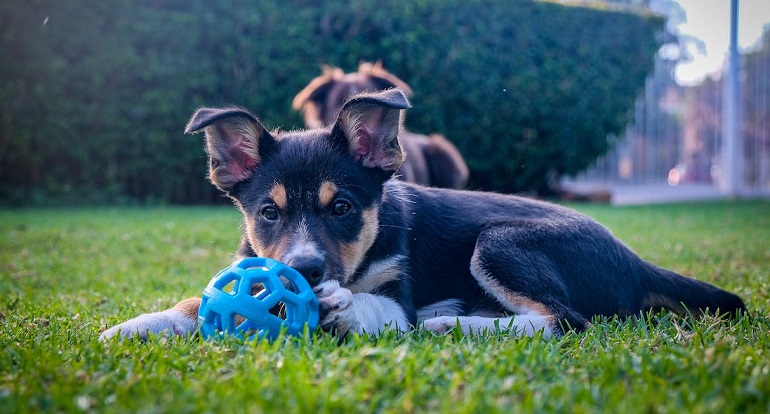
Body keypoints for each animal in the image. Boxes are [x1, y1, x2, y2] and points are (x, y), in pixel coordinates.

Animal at [100, 89, 744, 342]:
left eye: (343, 208)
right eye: (267, 212)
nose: (304, 274)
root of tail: (636, 260)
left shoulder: (397, 294)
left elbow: (380, 307)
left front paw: (345, 306)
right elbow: (198, 299)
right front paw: (135, 326)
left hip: (502, 241)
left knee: (564, 320)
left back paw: (450, 324)